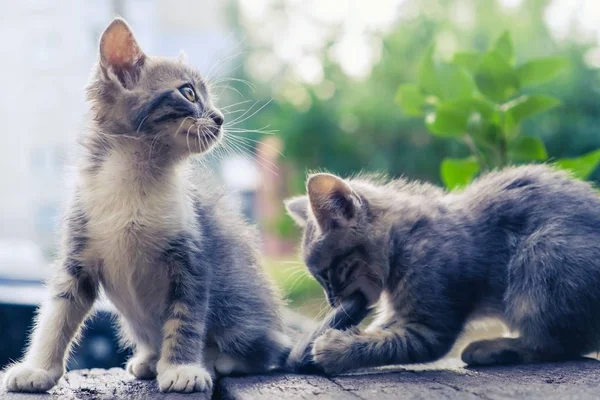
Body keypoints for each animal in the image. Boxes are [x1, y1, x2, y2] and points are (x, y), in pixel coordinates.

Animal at [2, 18, 288, 394]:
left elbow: (185, 317)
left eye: (207, 97)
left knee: (271, 349)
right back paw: (151, 359)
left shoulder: (192, 258)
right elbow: (57, 312)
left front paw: (182, 367)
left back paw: (219, 359)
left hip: (243, 307)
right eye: (189, 93)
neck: (136, 177)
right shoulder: (77, 256)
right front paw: (38, 368)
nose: (219, 118)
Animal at [284, 166, 600, 376]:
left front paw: (335, 349)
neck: (404, 242)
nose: (332, 302)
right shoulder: (399, 314)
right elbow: (379, 331)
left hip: (542, 255)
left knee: (559, 343)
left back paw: (495, 348)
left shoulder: (432, 328)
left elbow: (387, 343)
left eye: (327, 274)